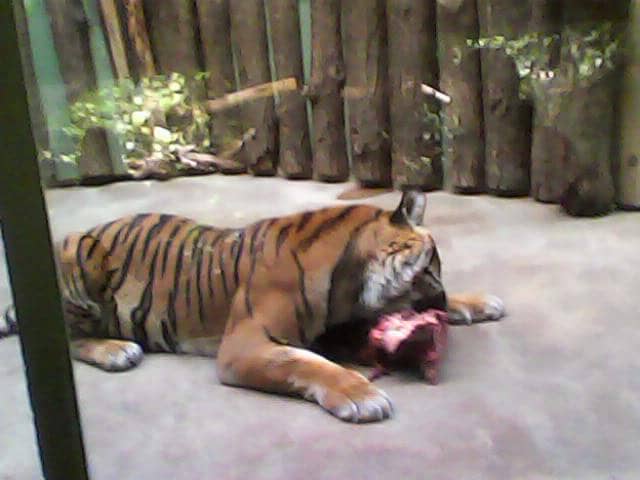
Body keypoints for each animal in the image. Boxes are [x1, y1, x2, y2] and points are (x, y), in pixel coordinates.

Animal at [0, 191, 504, 423]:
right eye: (431, 268)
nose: (440, 300)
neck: (348, 277)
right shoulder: (245, 344)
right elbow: (306, 364)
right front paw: (361, 394)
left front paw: (479, 301)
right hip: (80, 257)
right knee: (66, 337)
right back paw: (114, 349)